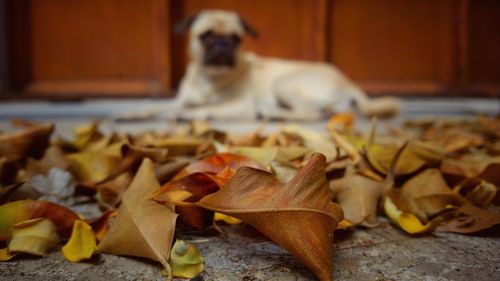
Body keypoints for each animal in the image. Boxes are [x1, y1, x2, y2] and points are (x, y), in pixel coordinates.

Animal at [174, 9, 400, 119]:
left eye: (235, 38)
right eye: (206, 36)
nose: (222, 44)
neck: (208, 78)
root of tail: (348, 82)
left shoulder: (240, 104)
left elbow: (208, 107)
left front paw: (191, 113)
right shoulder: (180, 100)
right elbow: (175, 105)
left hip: (283, 83)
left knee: (310, 112)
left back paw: (274, 114)